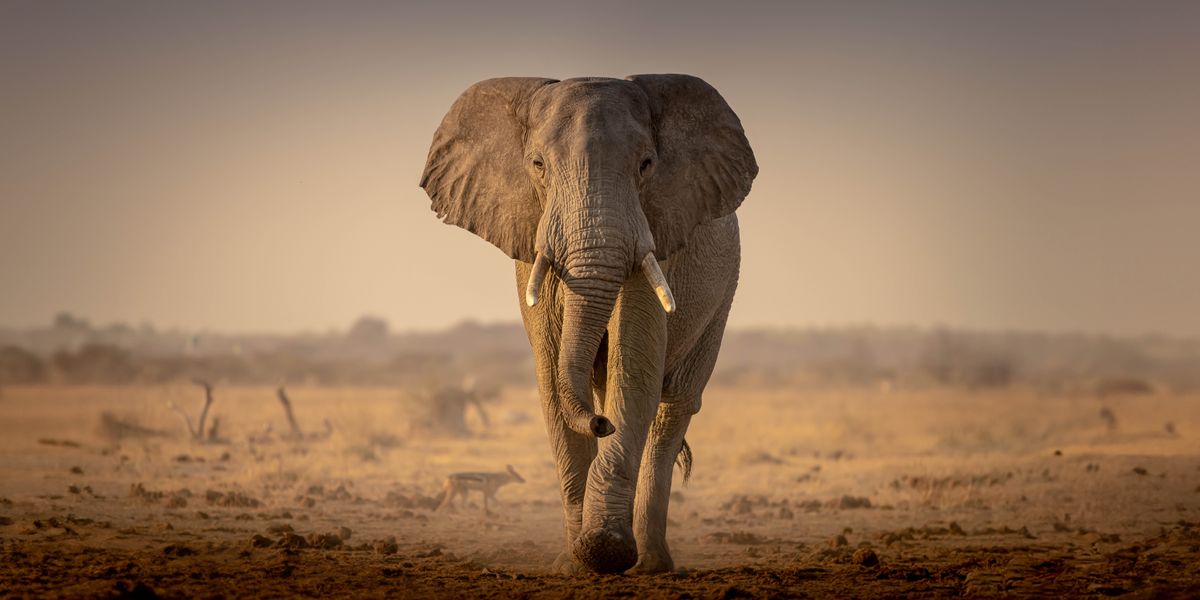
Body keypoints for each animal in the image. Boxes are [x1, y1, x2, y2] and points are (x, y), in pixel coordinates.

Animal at [418, 75, 757, 574]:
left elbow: (633, 369)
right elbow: (551, 381)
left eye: (646, 165)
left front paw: (605, 550)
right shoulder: (531, 244)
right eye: (538, 165)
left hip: (723, 297)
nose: (600, 424)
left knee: (672, 410)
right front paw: (576, 565)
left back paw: (651, 564)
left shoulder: (656, 234)